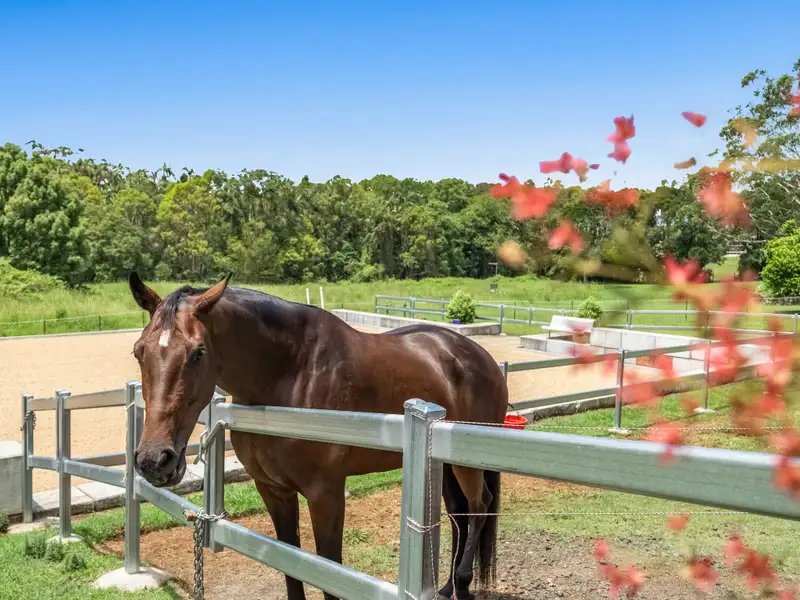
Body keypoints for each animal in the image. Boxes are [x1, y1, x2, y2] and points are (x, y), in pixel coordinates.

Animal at [127, 272, 508, 600]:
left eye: (198, 352)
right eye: (138, 350)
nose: (154, 460)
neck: (289, 371)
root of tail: (482, 357)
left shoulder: (325, 494)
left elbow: (328, 571)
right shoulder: (274, 490)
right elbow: (292, 565)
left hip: (468, 465)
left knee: (479, 505)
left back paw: (463, 582)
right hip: (445, 465)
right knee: (459, 513)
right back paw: (448, 586)